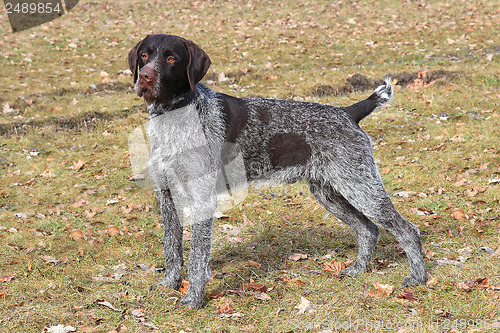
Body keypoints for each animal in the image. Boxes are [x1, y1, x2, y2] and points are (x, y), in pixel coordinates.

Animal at [127, 33, 428, 306]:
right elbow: (172, 248)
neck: (172, 116)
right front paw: (169, 284)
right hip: (330, 193)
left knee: (407, 230)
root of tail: (348, 112)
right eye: (144, 55)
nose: (146, 77)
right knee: (368, 230)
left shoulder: (202, 199)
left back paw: (418, 278)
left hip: (360, 187)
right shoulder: (167, 196)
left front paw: (194, 298)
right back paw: (358, 270)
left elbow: (196, 258)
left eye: (172, 58)